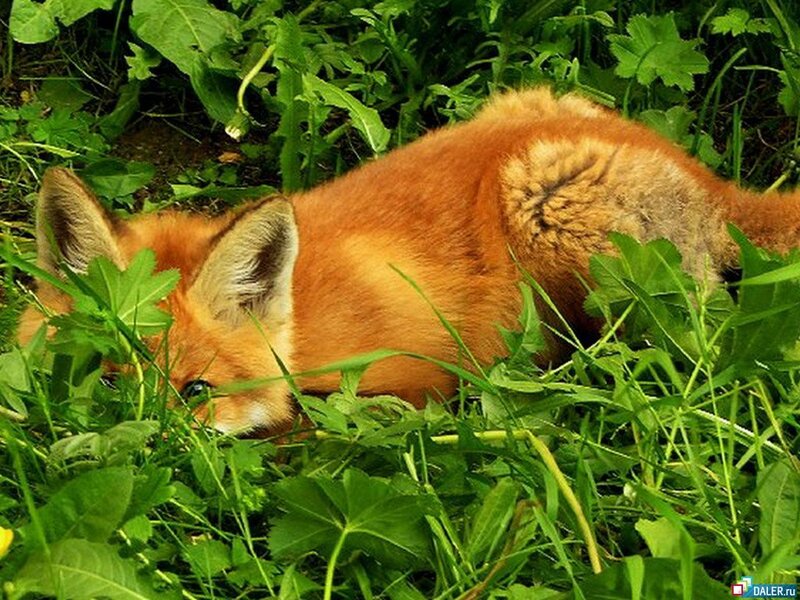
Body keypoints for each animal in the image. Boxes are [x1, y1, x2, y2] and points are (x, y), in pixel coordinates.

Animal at [17, 87, 800, 433]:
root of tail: (705, 178)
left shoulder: (408, 384)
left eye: (196, 392)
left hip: (553, 214)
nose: (132, 447)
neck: (300, 333)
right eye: (104, 381)